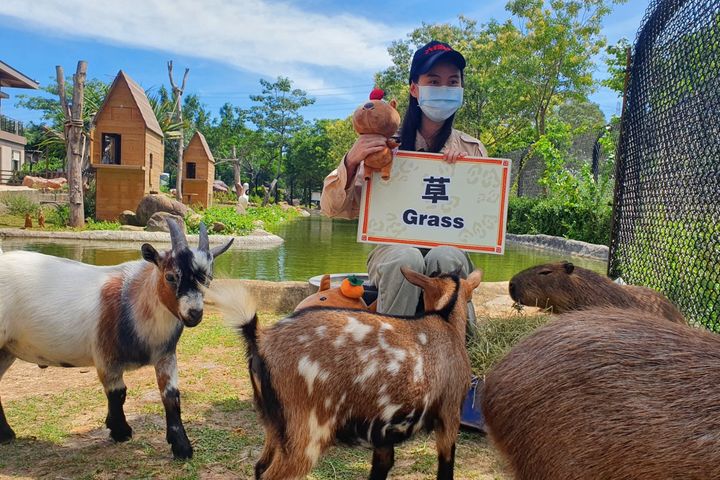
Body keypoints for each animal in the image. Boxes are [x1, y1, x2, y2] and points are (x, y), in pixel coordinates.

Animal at [0, 218, 232, 458]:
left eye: (208, 279)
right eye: (170, 276)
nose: (194, 313)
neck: (132, 300)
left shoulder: (165, 354)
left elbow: (171, 395)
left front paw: (181, 446)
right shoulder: (105, 357)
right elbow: (117, 393)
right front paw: (120, 432)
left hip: (7, 349)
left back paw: (6, 434)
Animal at [207, 266, 484, 480]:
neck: (446, 321)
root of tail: (260, 339)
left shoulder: (382, 432)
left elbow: (381, 467)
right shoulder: (449, 414)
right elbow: (446, 466)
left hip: (274, 425)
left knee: (259, 467)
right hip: (307, 430)